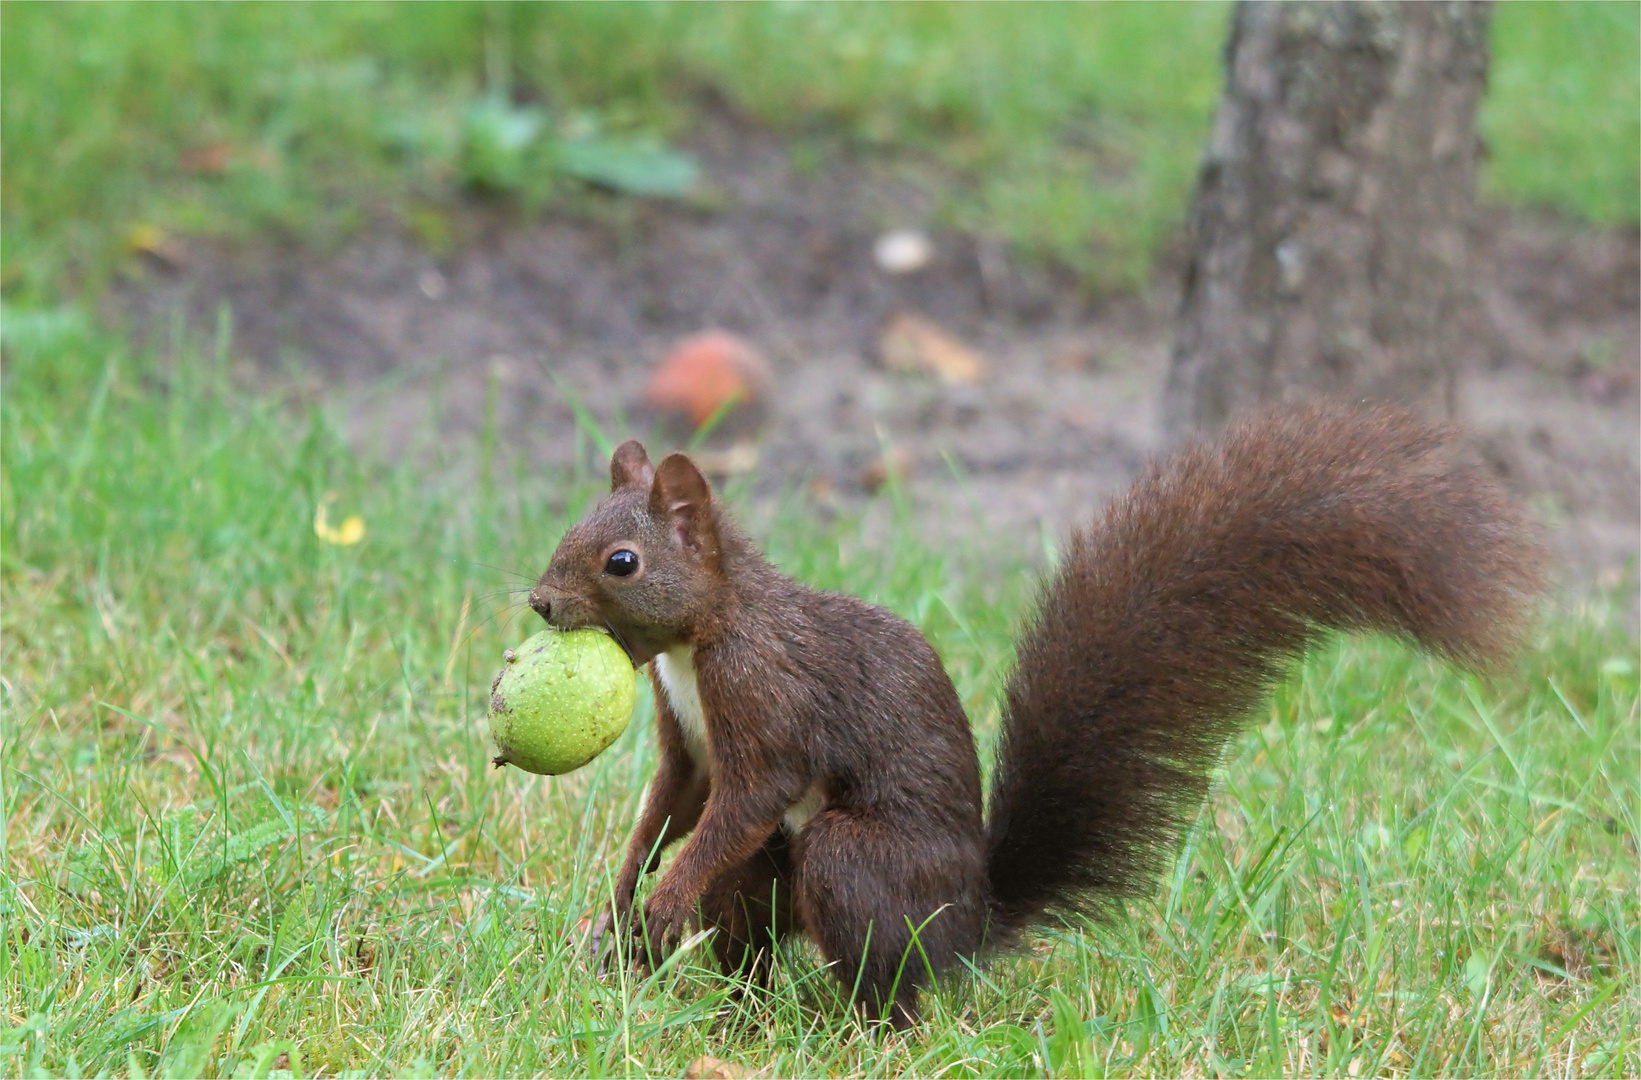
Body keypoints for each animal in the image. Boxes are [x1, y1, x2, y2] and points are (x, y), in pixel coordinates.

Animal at [531, 398, 1542, 1024]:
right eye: (569, 528)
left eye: (622, 561)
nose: (539, 604)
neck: (703, 636)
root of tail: (968, 927)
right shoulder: (685, 744)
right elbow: (670, 805)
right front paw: (619, 903)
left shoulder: (768, 697)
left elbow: (741, 801)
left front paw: (661, 900)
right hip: (769, 884)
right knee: (753, 929)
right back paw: (735, 1020)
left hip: (856, 861)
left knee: (880, 980)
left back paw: (852, 1030)